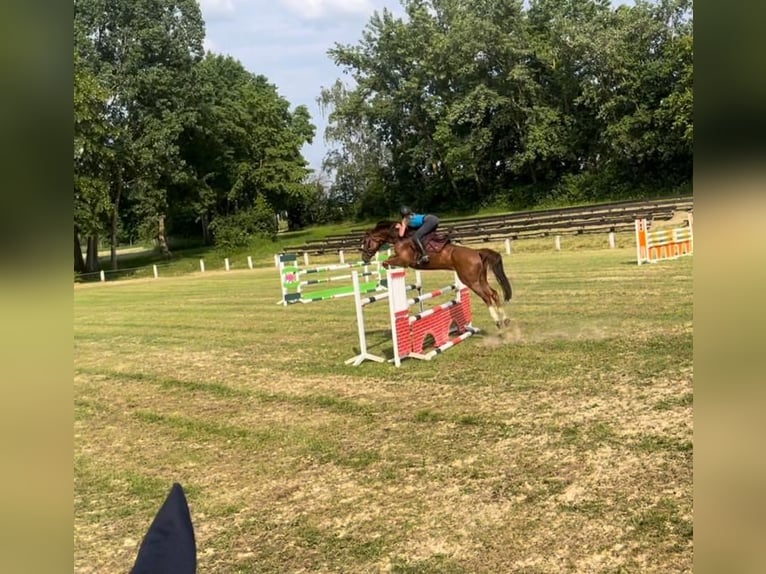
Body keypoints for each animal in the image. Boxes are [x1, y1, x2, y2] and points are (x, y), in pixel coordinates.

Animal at [362, 222, 516, 328]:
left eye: (365, 242)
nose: (364, 258)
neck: (400, 238)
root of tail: (477, 252)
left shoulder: (405, 260)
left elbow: (386, 262)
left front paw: (387, 271)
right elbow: (388, 260)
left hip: (470, 281)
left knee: (487, 296)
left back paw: (497, 321)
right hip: (480, 279)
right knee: (494, 293)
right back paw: (505, 319)